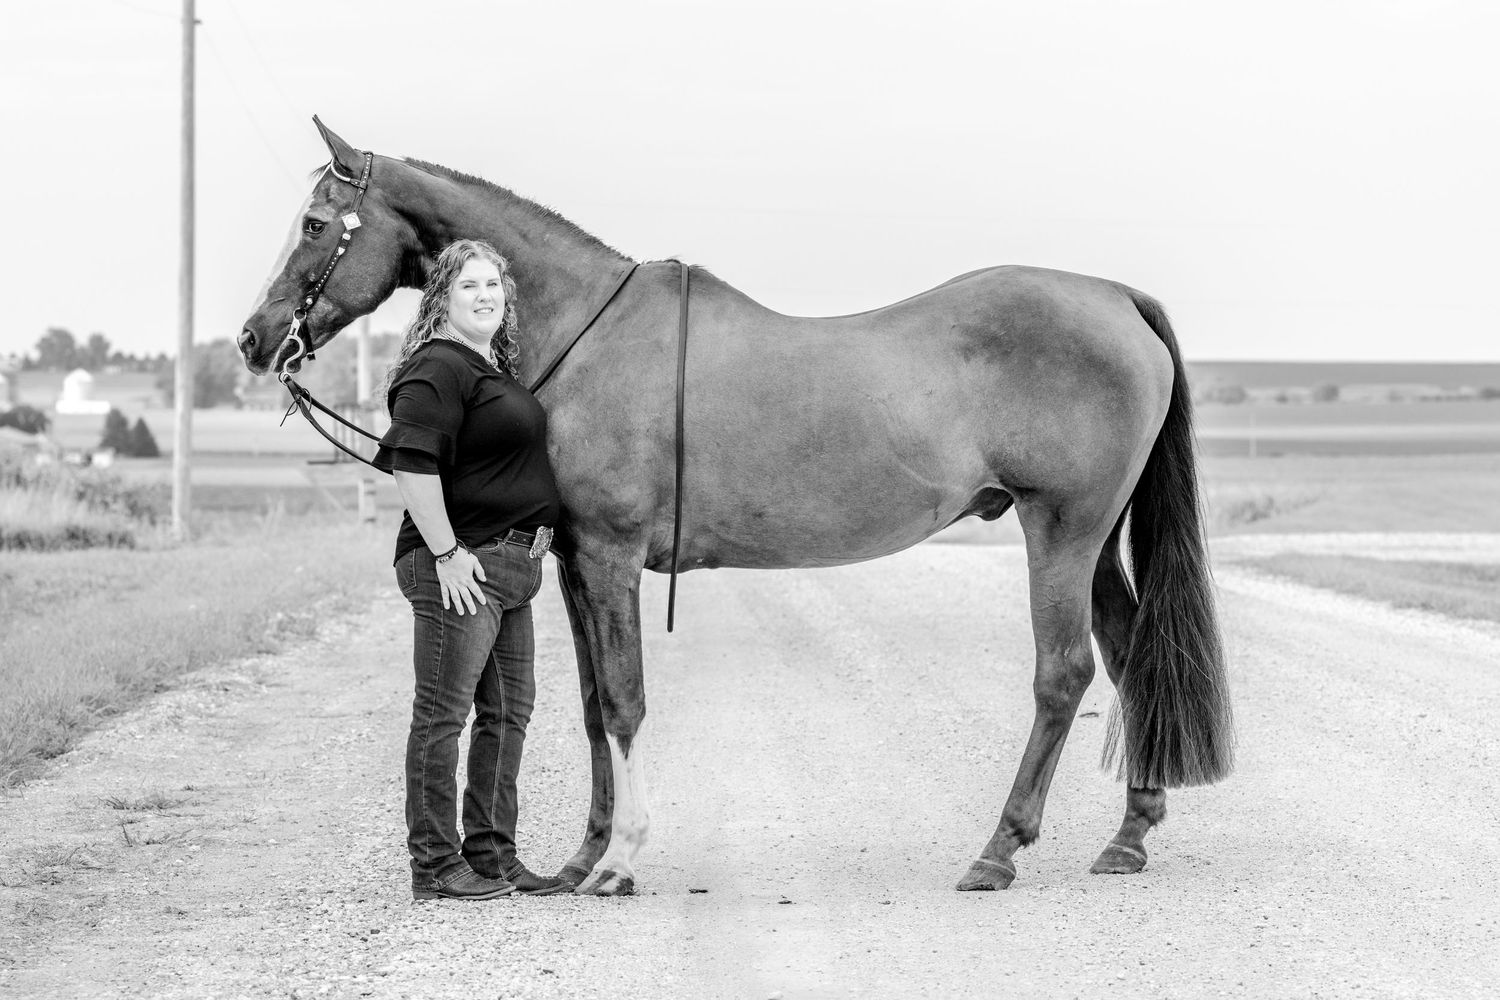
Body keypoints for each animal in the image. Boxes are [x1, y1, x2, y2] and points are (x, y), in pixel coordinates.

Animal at [239, 118, 1234, 897]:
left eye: (316, 223)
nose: (255, 338)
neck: (590, 333)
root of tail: (1115, 298)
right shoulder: (576, 563)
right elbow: (594, 707)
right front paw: (584, 857)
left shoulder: (609, 557)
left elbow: (625, 702)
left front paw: (619, 863)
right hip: (1088, 540)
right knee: (1129, 651)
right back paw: (1128, 835)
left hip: (1061, 530)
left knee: (1063, 674)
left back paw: (999, 850)